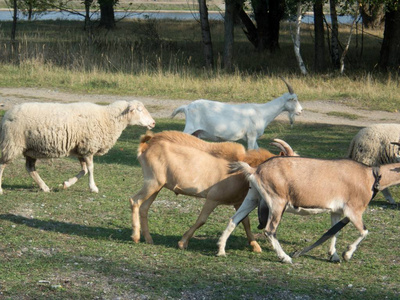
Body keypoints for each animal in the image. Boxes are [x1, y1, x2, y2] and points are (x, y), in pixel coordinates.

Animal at [0, 100, 155, 195]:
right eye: (139, 110)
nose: (153, 123)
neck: (108, 117)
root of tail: (6, 115)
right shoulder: (89, 147)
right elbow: (90, 169)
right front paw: (93, 187)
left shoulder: (81, 149)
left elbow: (84, 170)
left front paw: (66, 184)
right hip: (12, 143)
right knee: (2, 165)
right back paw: (1, 190)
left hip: (30, 150)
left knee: (30, 168)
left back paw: (44, 187)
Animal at [130, 131, 296, 251]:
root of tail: (146, 146)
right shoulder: (213, 199)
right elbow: (202, 220)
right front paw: (183, 242)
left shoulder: (238, 202)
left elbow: (245, 222)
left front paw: (255, 246)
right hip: (153, 182)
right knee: (135, 200)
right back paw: (136, 236)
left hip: (157, 186)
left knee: (144, 207)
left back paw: (148, 239)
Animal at [170, 78, 304, 149]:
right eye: (294, 99)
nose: (301, 110)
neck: (262, 112)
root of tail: (187, 107)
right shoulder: (251, 136)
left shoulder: (254, 137)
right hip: (190, 128)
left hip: (196, 133)